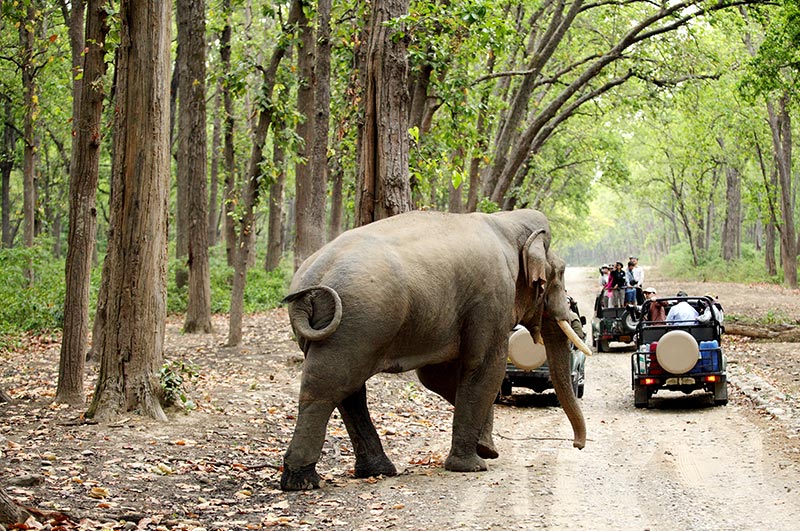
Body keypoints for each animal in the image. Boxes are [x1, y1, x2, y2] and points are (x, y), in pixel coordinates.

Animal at [278, 210, 592, 492]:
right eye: (560, 273)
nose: (577, 445)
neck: (505, 221)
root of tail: (310, 282)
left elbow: (436, 377)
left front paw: (486, 448)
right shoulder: (492, 297)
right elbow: (486, 367)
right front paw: (474, 464)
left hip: (346, 329)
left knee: (348, 390)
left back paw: (377, 471)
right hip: (357, 324)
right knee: (327, 388)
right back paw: (301, 481)